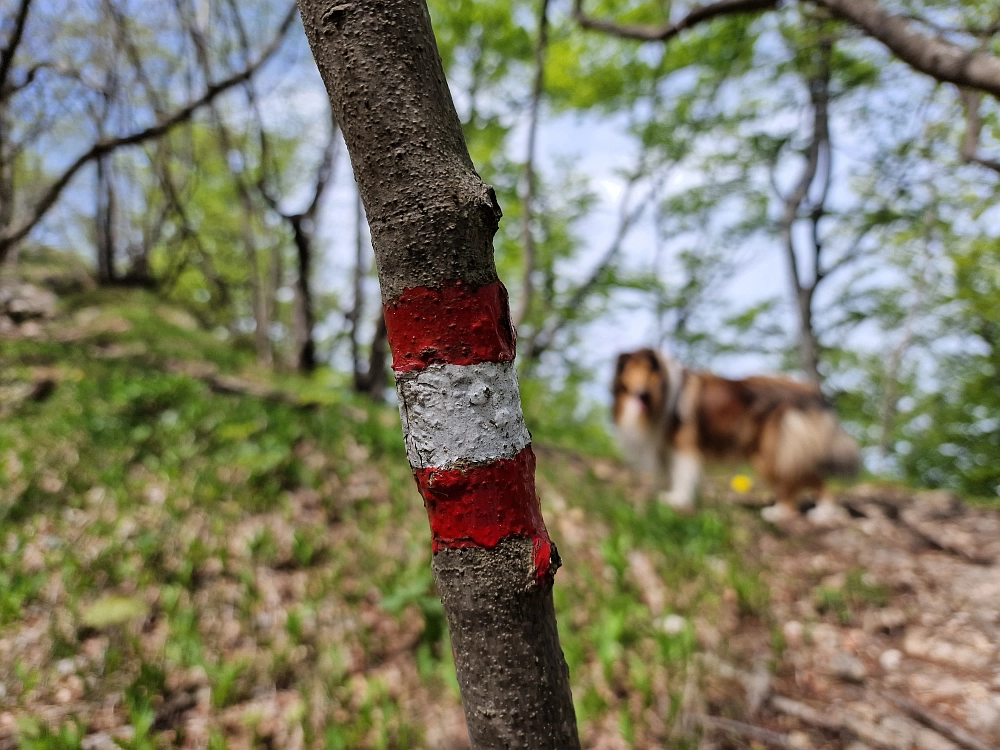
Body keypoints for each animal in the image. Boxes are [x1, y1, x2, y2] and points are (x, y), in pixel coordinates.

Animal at [608, 348, 860, 520]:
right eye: (631, 371)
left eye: (648, 372)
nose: (641, 393)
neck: (663, 394)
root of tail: (813, 393)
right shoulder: (666, 447)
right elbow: (670, 475)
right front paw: (668, 496)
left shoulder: (684, 444)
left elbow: (682, 474)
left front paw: (678, 500)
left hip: (771, 452)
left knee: (799, 477)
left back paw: (791, 512)